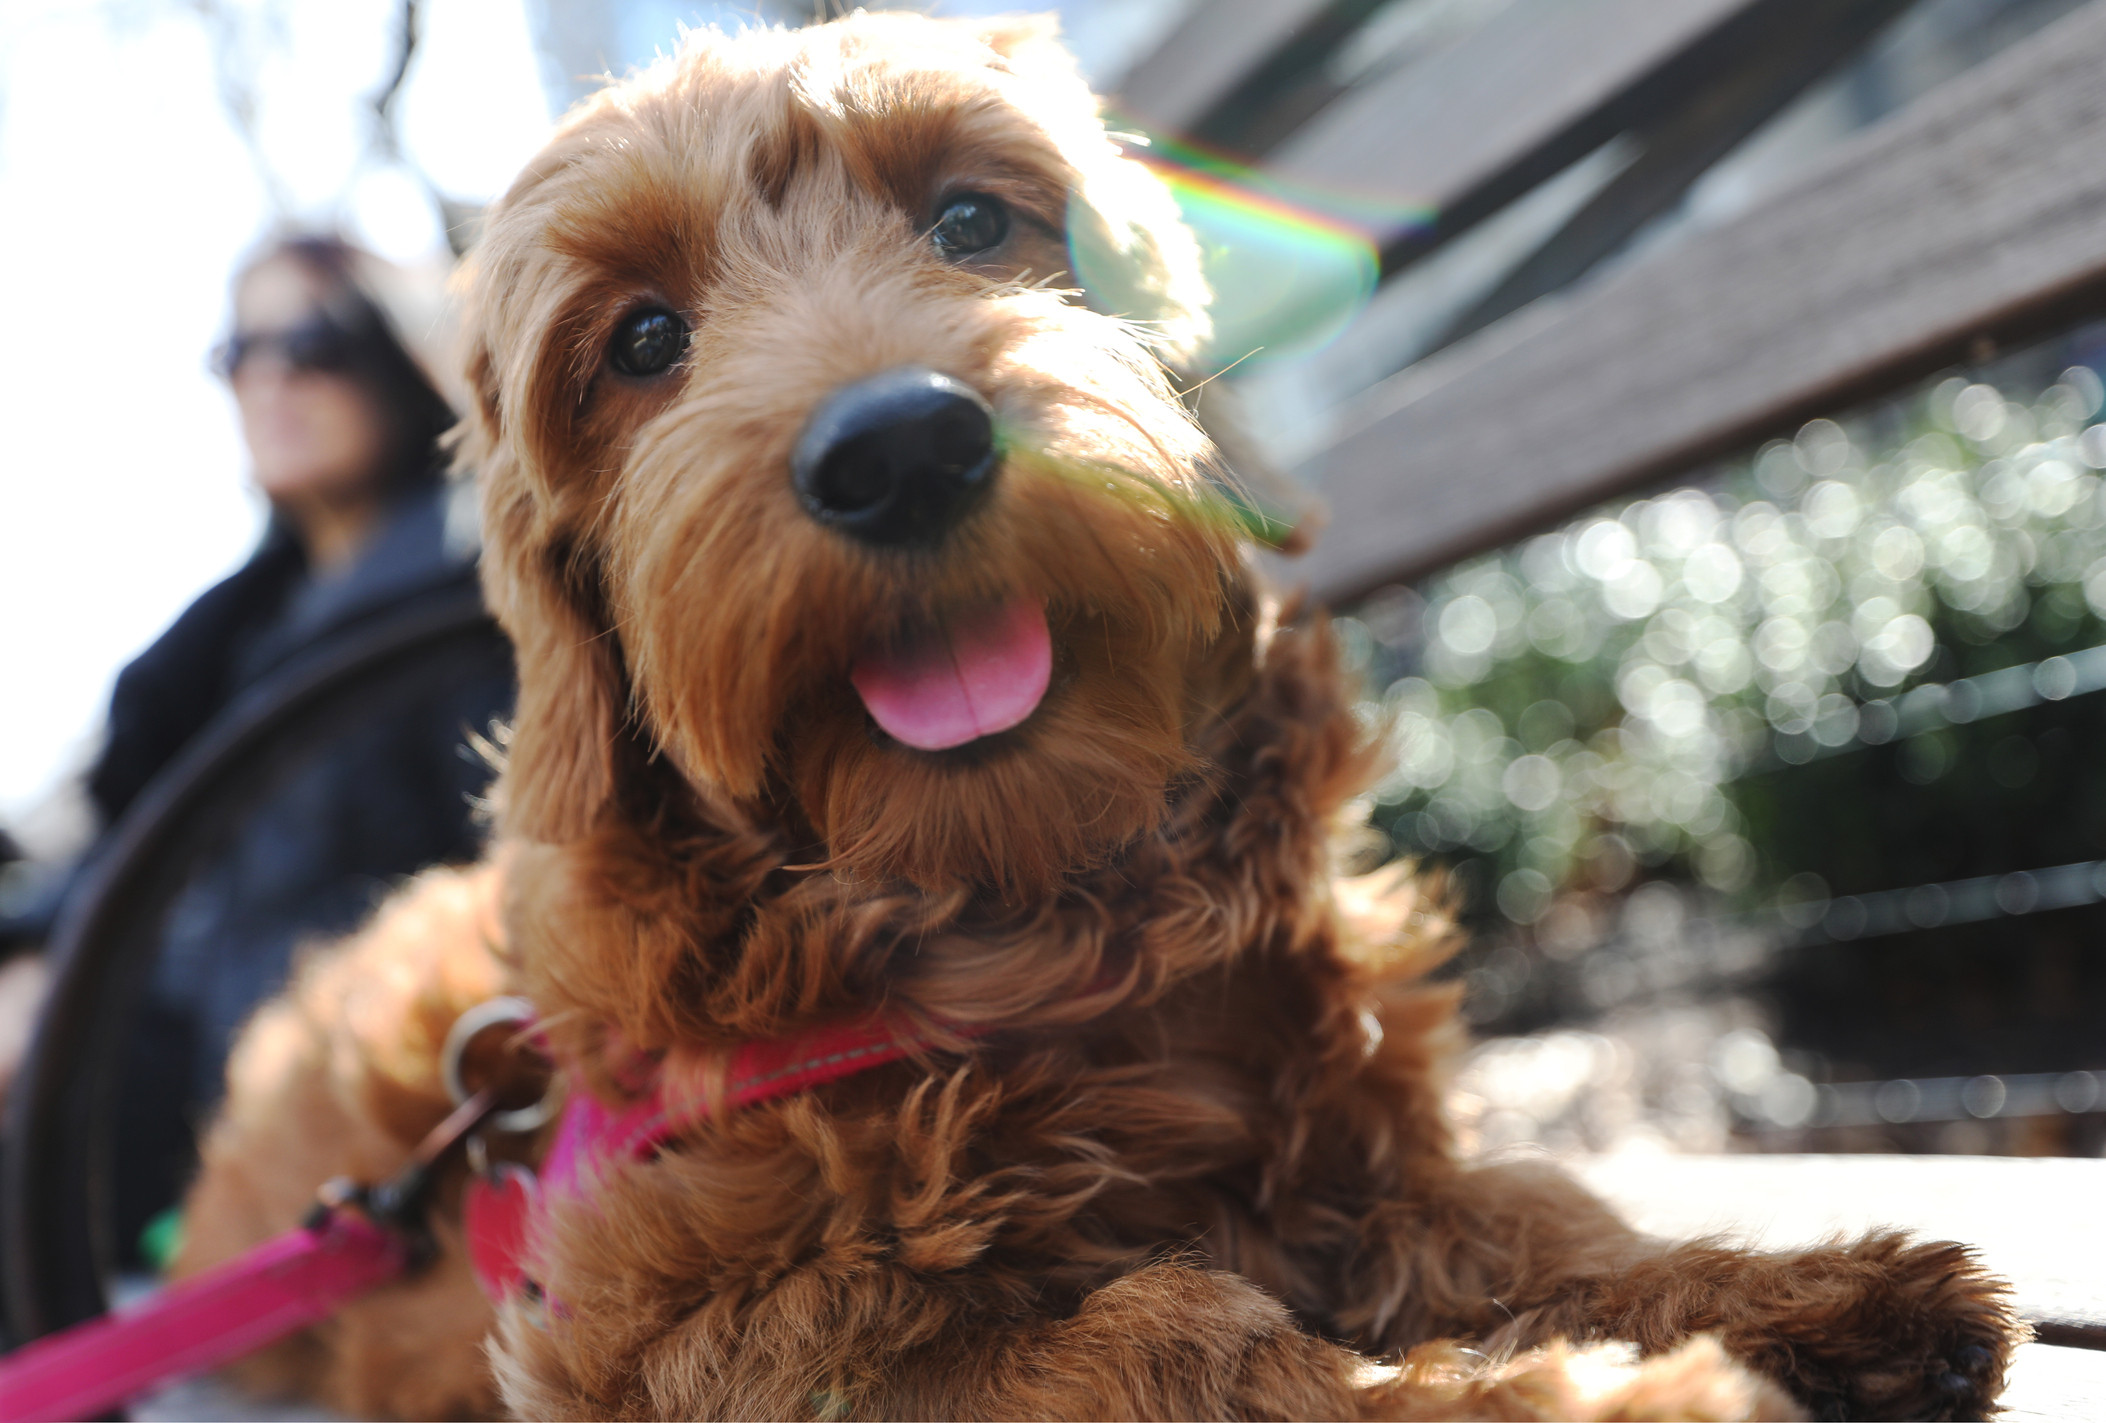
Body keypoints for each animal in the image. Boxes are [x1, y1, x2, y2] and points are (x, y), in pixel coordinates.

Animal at [176, 13, 2021, 1423]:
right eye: (639, 339)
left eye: (971, 221)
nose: (898, 446)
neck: (1031, 925)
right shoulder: (679, 1337)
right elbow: (1186, 1337)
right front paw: (1634, 1394)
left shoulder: (1354, 1149)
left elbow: (1525, 1210)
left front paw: (1791, 1293)